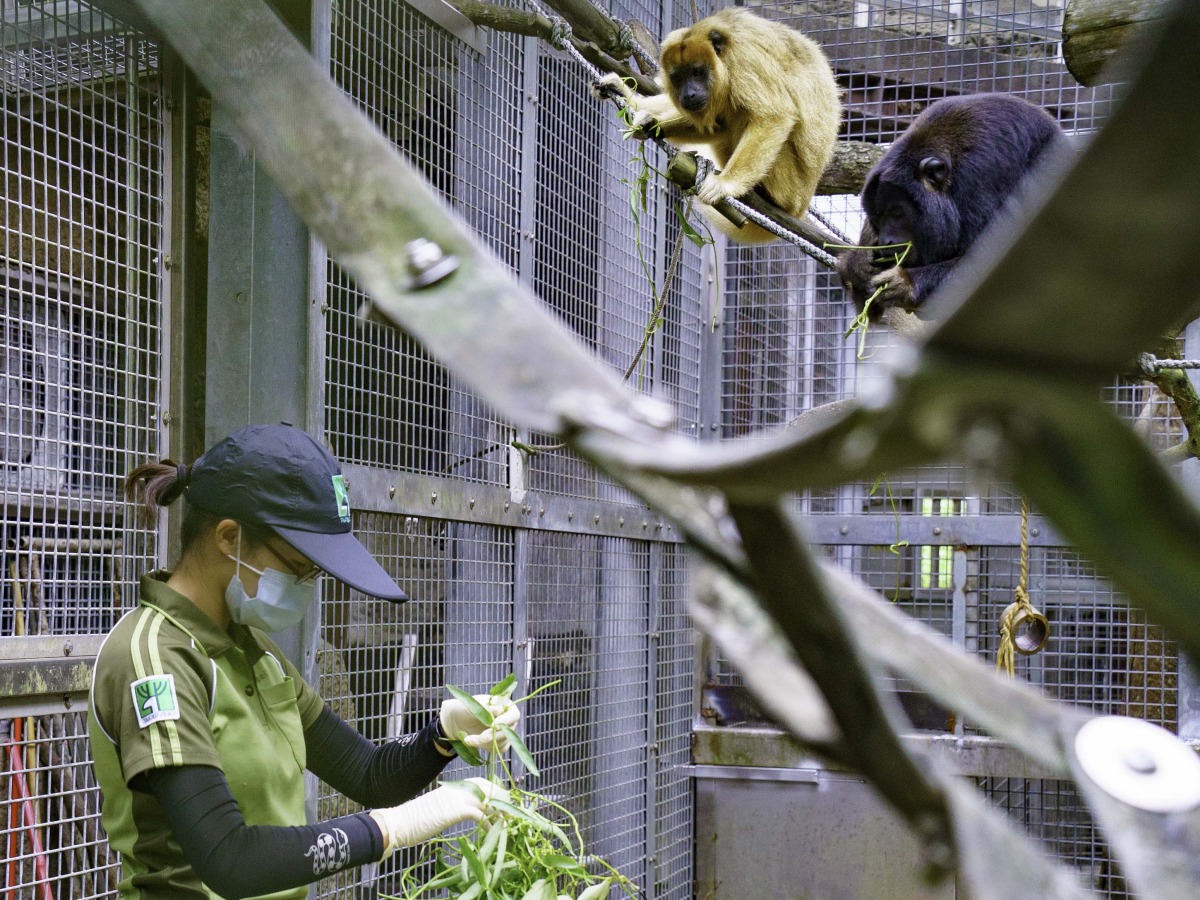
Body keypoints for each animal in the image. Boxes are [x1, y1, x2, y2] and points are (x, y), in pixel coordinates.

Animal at [604, 8, 840, 247]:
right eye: (678, 77)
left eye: (697, 72)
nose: (689, 94)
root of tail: (800, 206)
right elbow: (715, 125)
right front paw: (644, 115)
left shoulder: (745, 59)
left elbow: (774, 116)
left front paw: (725, 184)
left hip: (787, 186)